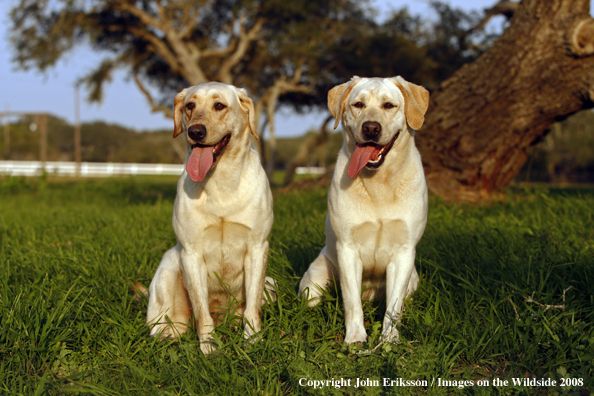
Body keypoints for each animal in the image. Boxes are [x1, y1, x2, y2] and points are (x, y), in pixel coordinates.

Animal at [145, 82, 274, 354]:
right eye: (190, 106)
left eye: (219, 105)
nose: (195, 131)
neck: (220, 180)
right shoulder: (191, 253)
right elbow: (201, 310)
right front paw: (209, 347)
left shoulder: (258, 247)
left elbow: (252, 307)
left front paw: (252, 340)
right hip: (168, 269)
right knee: (167, 326)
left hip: (271, 283)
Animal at [298, 76, 428, 344]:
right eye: (358, 104)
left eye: (389, 105)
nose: (371, 128)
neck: (379, 184)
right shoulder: (348, 248)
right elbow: (351, 302)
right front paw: (355, 339)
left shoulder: (403, 251)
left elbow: (393, 307)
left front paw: (389, 341)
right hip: (313, 282)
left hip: (413, 279)